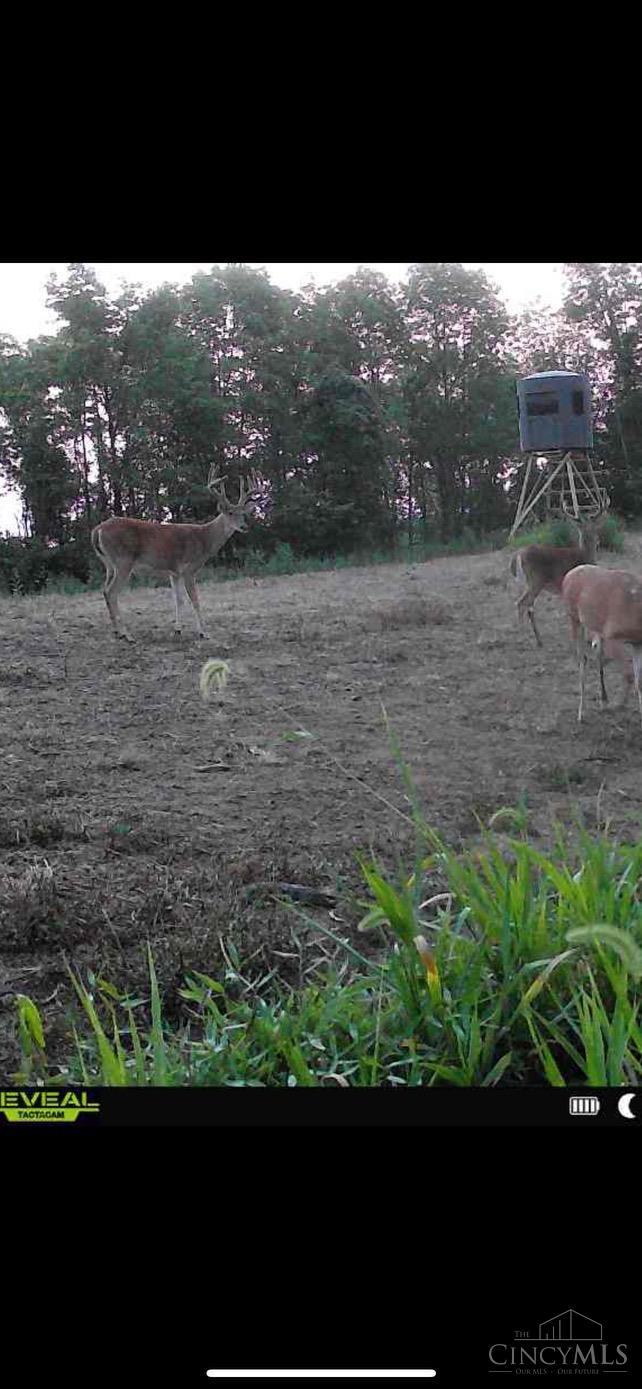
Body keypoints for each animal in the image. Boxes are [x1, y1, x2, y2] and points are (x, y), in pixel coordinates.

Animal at [91, 466, 261, 638]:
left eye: (243, 513)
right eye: (231, 513)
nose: (244, 526)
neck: (205, 540)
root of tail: (97, 530)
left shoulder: (174, 572)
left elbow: (178, 600)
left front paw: (178, 629)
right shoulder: (189, 569)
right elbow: (195, 600)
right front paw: (203, 632)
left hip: (108, 564)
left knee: (104, 590)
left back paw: (116, 630)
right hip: (123, 560)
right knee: (111, 592)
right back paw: (126, 634)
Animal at [505, 502, 605, 647]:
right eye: (593, 530)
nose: (598, 541)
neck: (585, 555)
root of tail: (518, 555)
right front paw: (586, 639)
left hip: (526, 582)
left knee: (524, 604)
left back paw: (534, 639)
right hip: (536, 580)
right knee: (523, 603)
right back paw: (525, 638)